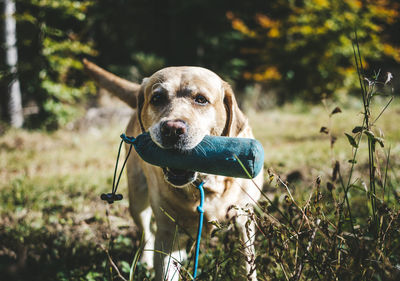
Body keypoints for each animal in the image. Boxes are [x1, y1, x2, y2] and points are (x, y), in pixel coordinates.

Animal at [83, 58, 264, 278]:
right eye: (157, 98)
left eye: (201, 99)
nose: (172, 129)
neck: (204, 184)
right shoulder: (168, 234)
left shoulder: (243, 222)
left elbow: (247, 267)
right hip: (138, 199)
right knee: (146, 233)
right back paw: (146, 261)